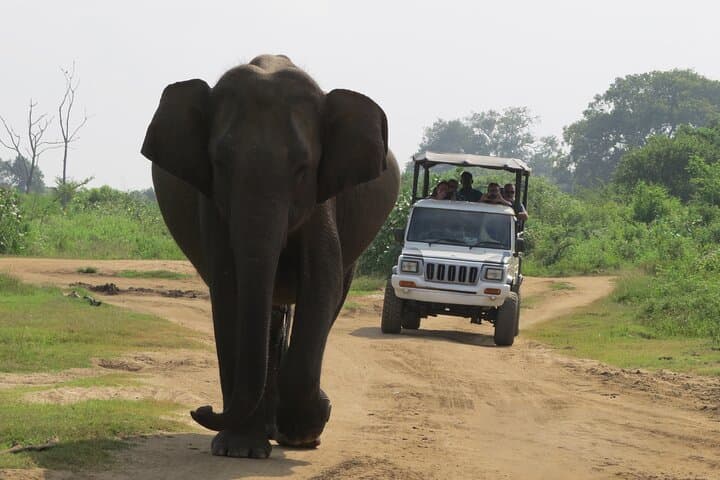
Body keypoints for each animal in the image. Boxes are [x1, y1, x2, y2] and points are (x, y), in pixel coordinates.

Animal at [141, 54, 400, 458]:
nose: (202, 409)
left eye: (303, 168)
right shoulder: (212, 203)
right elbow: (228, 287)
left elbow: (321, 284)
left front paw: (304, 430)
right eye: (220, 163)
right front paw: (239, 450)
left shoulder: (321, 200)